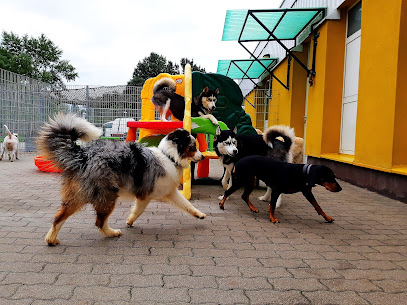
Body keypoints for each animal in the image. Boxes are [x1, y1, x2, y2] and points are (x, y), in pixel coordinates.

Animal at [36, 113, 206, 246]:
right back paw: (112, 233)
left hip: (78, 195)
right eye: (192, 147)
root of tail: (83, 156)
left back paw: (51, 239)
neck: (170, 157)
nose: (203, 157)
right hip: (107, 195)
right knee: (99, 221)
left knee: (59, 216)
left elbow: (187, 204)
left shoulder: (171, 192)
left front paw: (199, 214)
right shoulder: (145, 195)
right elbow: (138, 211)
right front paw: (130, 221)